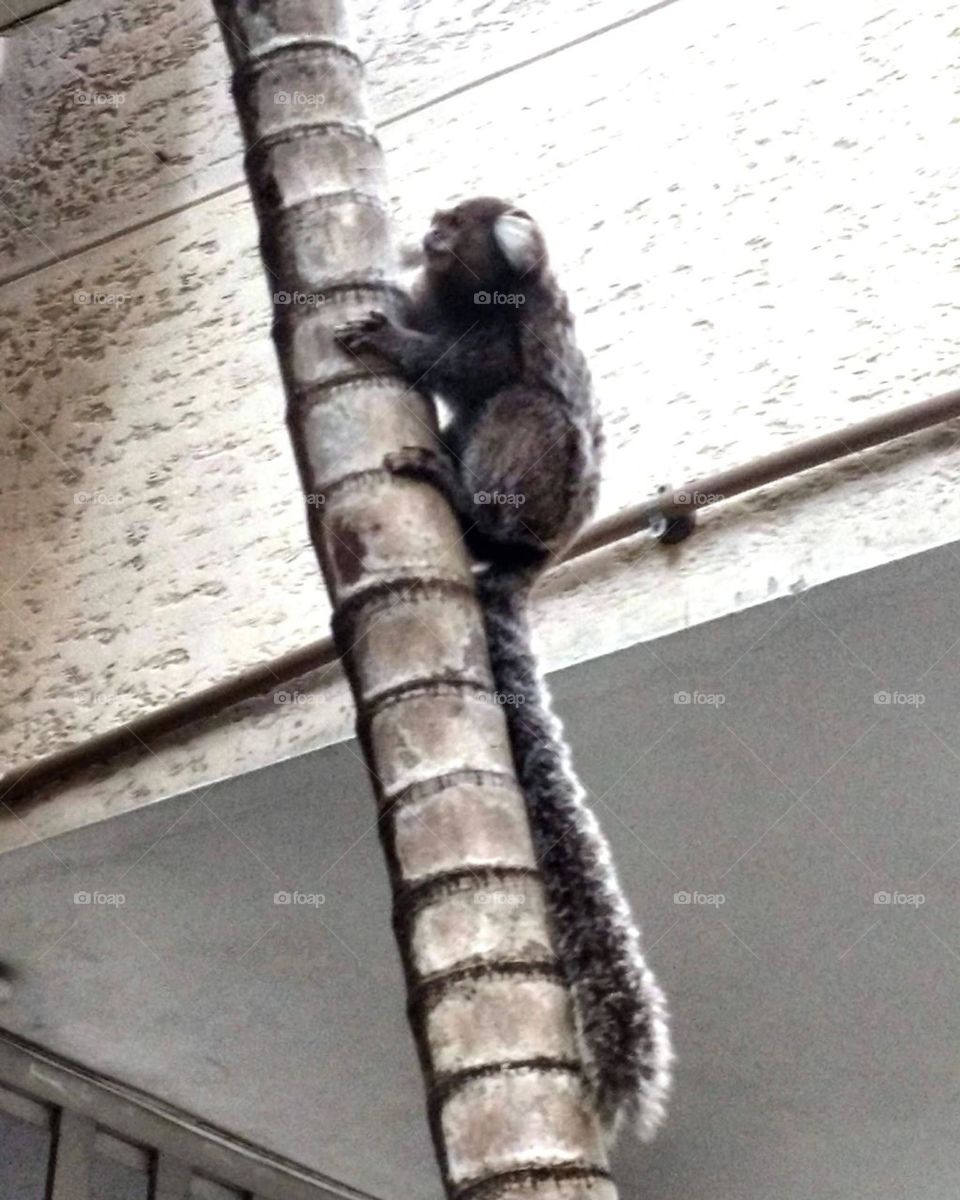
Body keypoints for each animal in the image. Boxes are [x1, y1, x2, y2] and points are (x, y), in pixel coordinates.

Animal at [336, 197, 672, 1141]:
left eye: (460, 224)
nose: (432, 230)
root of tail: (540, 558)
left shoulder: (505, 331)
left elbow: (473, 369)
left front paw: (396, 343)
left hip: (543, 491)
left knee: (524, 411)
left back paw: (462, 503)